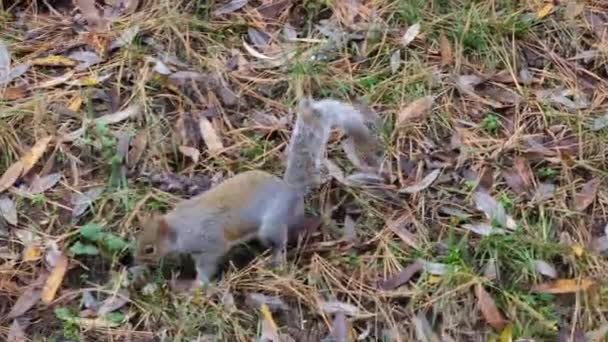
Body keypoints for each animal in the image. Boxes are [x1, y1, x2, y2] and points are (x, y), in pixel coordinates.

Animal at [134, 97, 380, 286]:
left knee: (280, 241)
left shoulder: (209, 242)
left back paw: (276, 259)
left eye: (149, 249)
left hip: (272, 224)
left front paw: (198, 285)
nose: (135, 261)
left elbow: (208, 263)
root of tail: (290, 190)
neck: (179, 226)